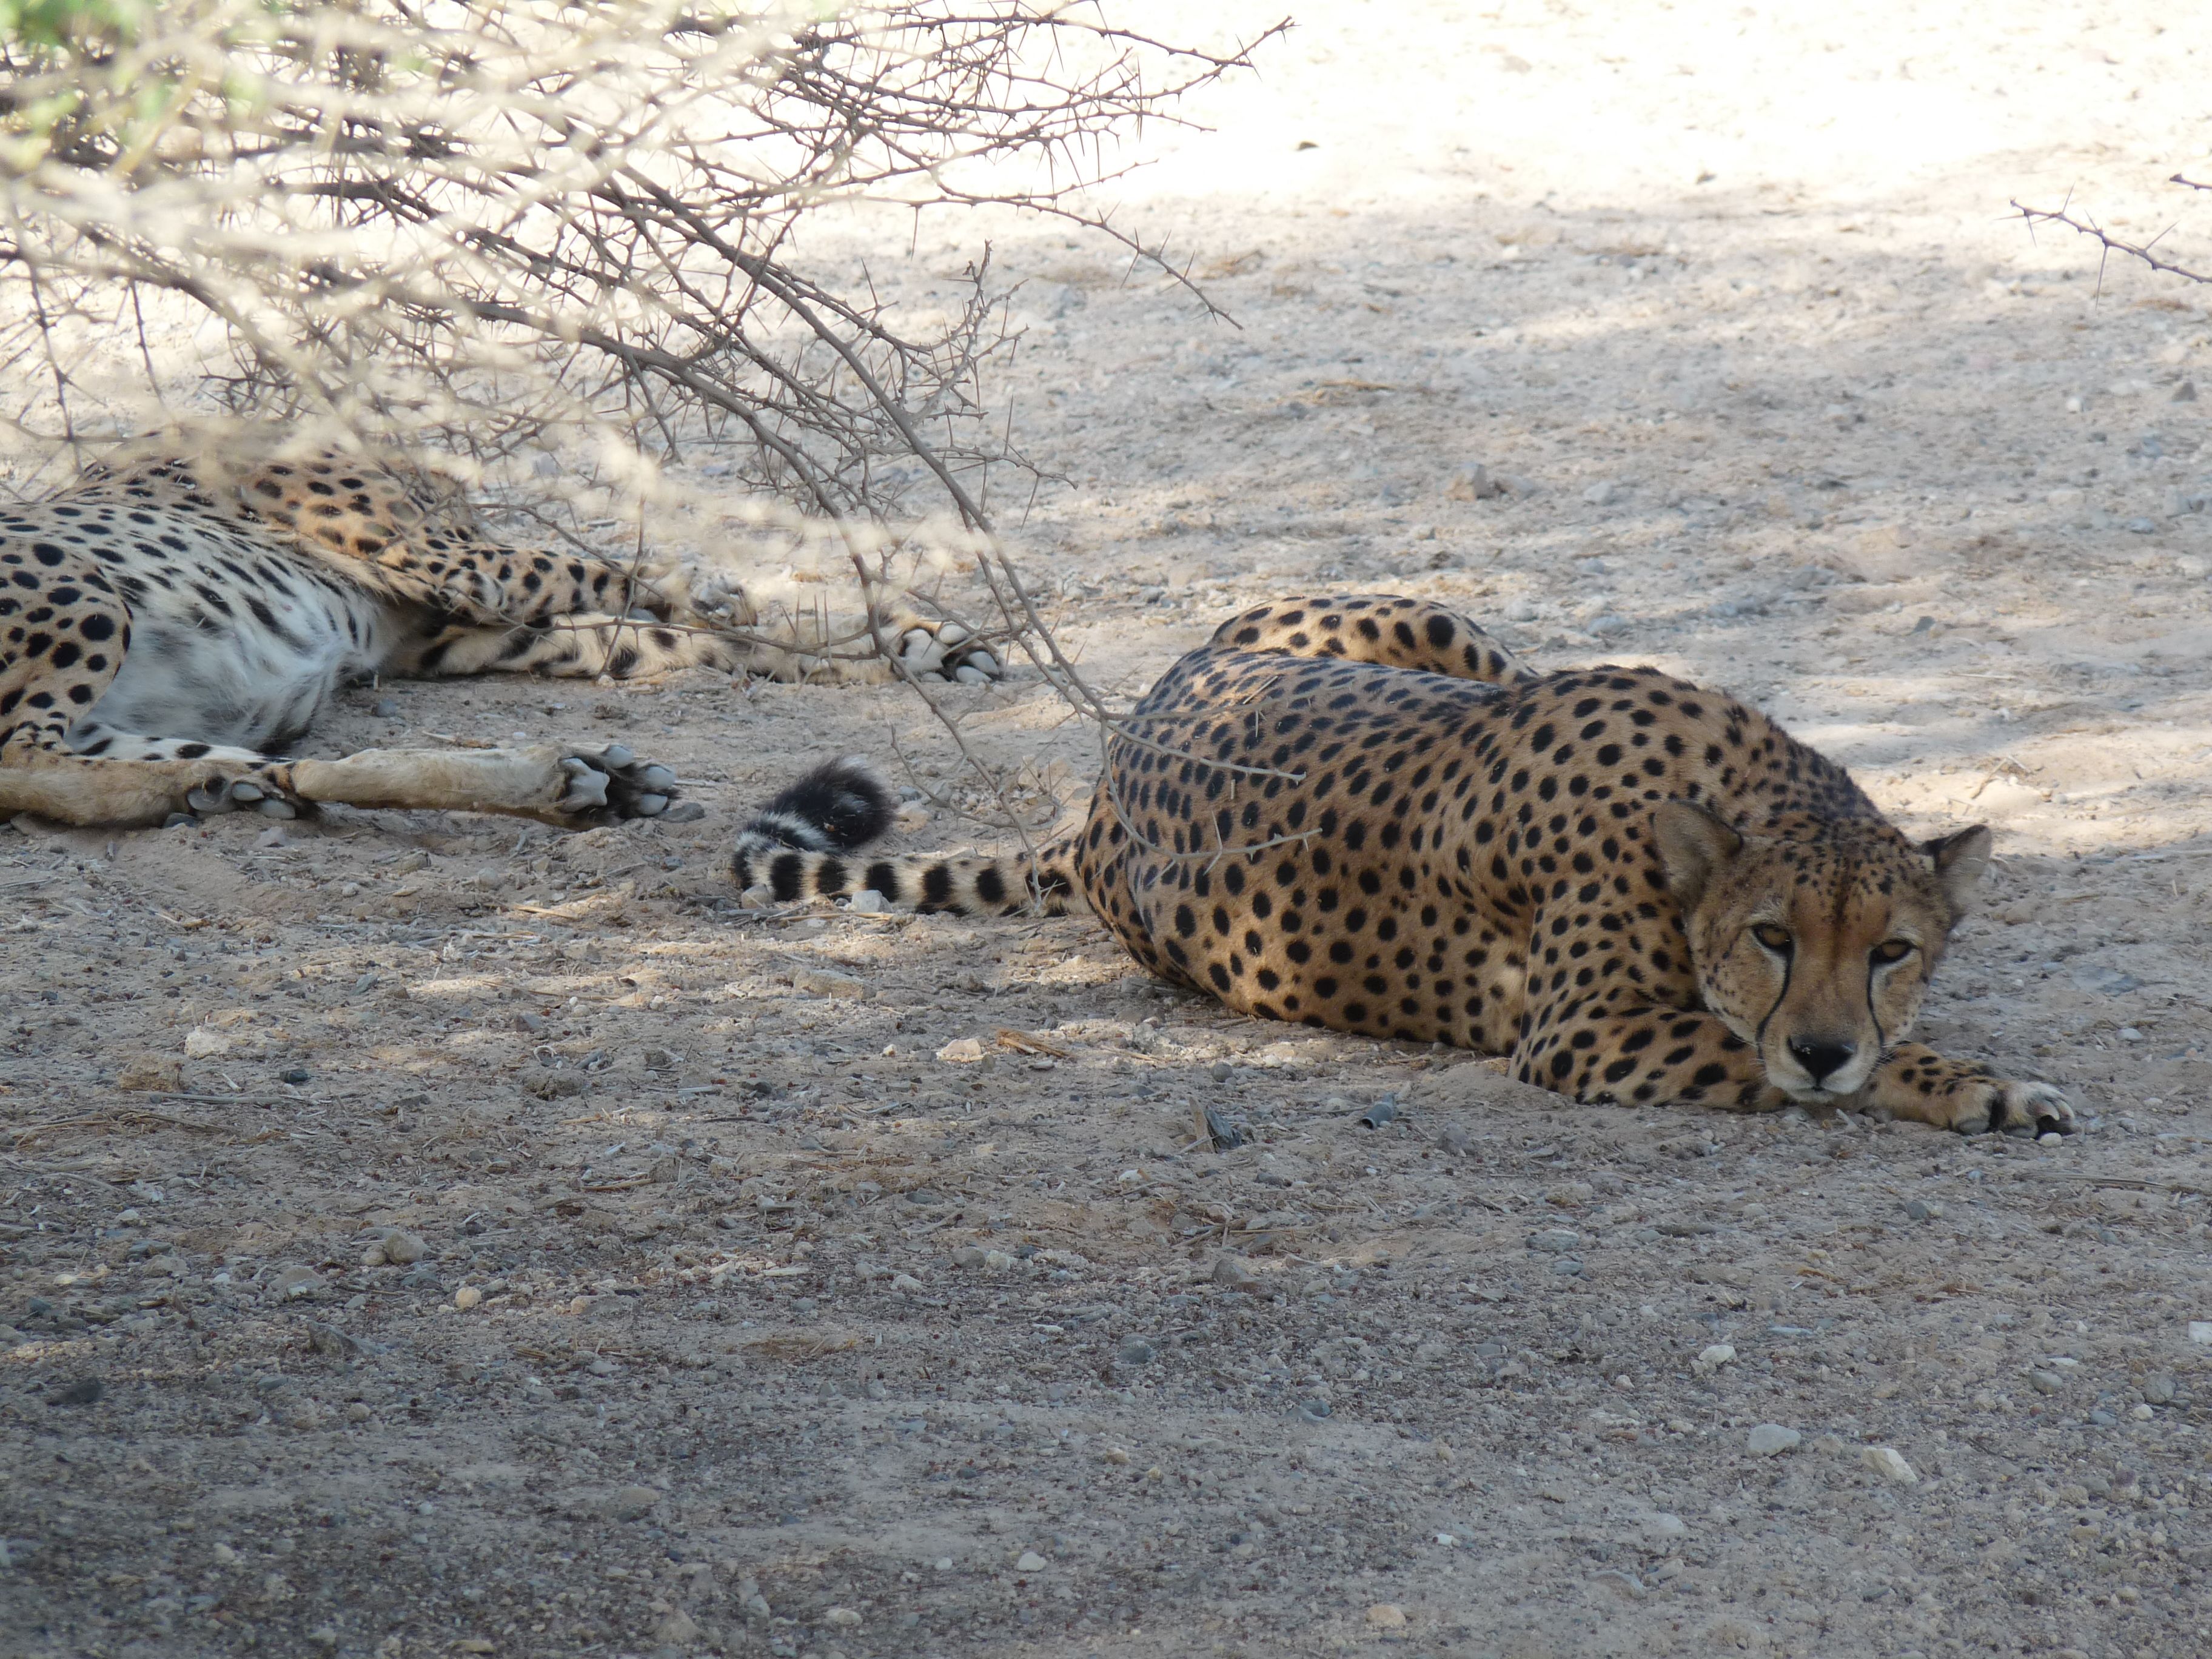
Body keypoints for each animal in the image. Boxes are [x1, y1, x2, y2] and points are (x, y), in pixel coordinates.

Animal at [0, 435, 995, 831]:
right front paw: (724, 592)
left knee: (289, 771)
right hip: (85, 590)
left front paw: (920, 647)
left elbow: (659, 637)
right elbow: (606, 570)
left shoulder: (442, 634)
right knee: (27, 762)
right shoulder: (458, 566)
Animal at [739, 592, 2070, 1141]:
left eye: (1892, 949)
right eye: (1773, 937)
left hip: (1457, 638)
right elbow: (1781, 1061)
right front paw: (1973, 1087)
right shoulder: (1582, 1034)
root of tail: (1105, 790)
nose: (1825, 1045)